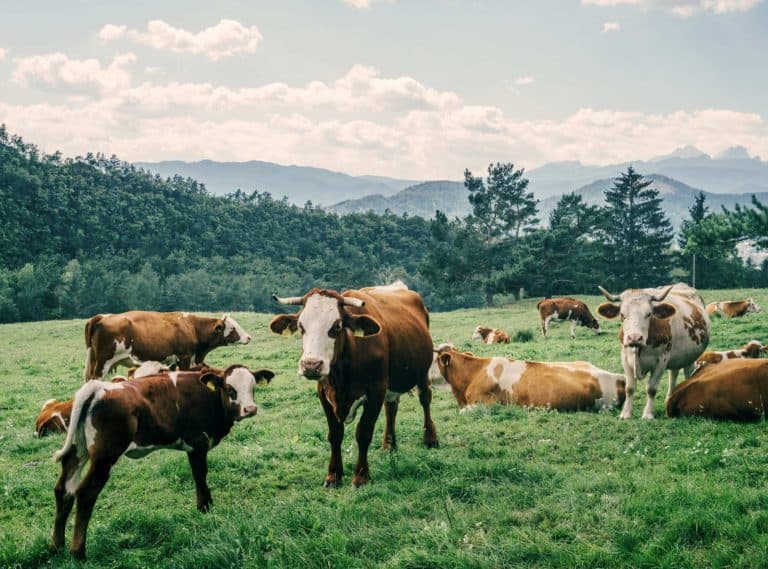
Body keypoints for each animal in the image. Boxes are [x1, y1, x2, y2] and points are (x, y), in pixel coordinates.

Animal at [49, 365, 273, 559]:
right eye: (230, 389)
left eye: (253, 387)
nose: (250, 409)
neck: (208, 395)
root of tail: (99, 387)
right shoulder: (198, 444)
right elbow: (200, 475)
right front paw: (204, 507)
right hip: (105, 457)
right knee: (86, 493)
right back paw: (77, 552)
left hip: (78, 451)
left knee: (64, 489)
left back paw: (56, 545)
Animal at [83, 311, 252, 380]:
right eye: (233, 328)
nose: (249, 337)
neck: (192, 326)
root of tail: (103, 317)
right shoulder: (184, 357)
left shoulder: (175, 361)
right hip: (103, 363)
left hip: (94, 361)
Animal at [269, 281, 438, 488]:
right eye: (301, 327)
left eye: (336, 326)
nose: (311, 365)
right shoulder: (323, 393)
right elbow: (335, 435)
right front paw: (333, 475)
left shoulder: (376, 390)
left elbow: (363, 433)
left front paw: (361, 476)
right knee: (391, 407)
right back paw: (389, 445)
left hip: (422, 371)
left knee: (425, 399)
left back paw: (430, 439)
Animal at [596, 283, 710, 419]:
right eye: (622, 315)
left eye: (649, 314)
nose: (634, 338)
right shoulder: (625, 358)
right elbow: (629, 388)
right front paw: (626, 413)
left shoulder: (661, 360)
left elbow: (651, 389)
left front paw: (648, 414)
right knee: (673, 374)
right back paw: (669, 399)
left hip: (690, 357)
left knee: (688, 374)